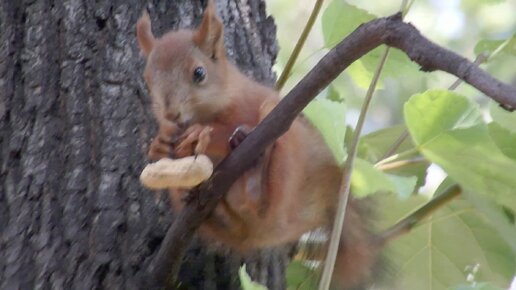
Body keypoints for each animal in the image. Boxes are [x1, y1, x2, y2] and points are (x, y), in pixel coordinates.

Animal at [137, 1, 378, 288]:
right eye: (147, 79)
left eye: (199, 73)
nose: (171, 114)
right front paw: (159, 145)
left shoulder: (247, 104)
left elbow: (229, 126)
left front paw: (202, 134)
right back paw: (201, 197)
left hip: (286, 149)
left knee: (263, 201)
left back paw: (255, 173)